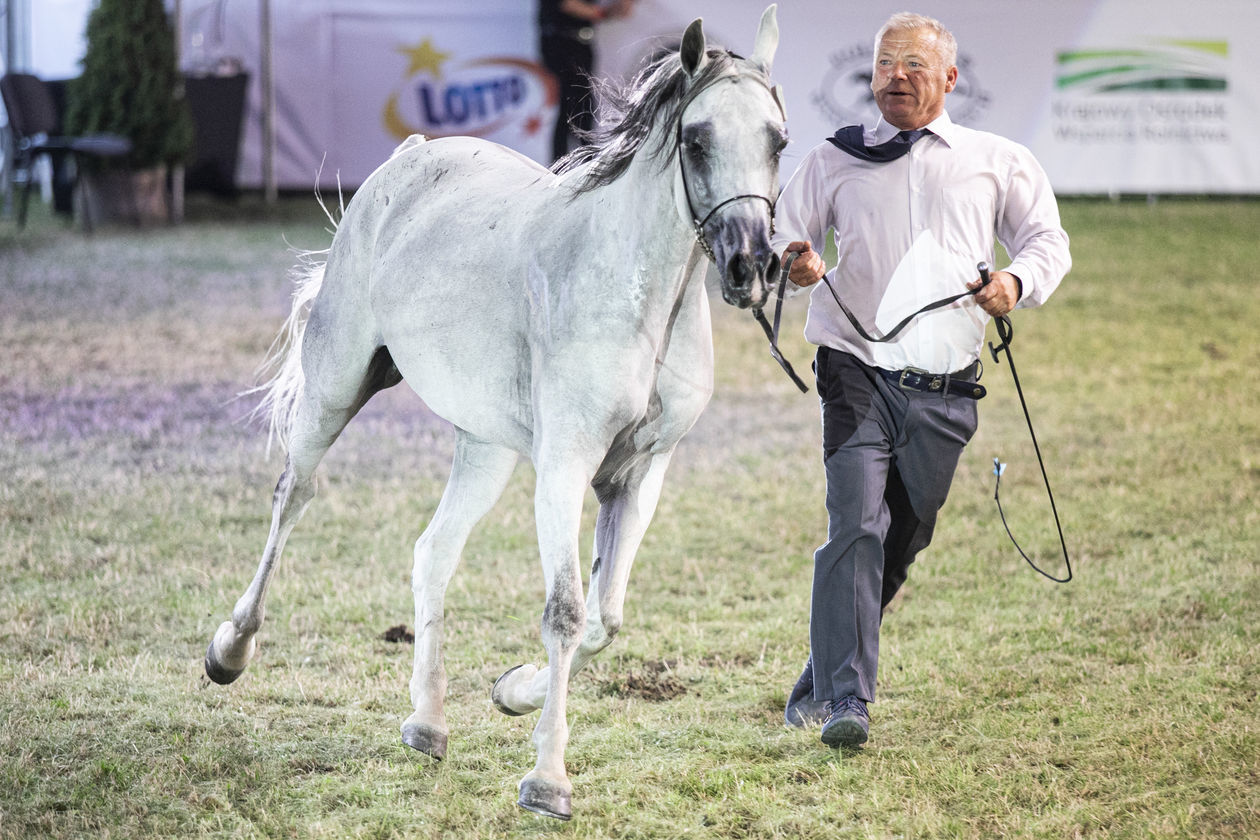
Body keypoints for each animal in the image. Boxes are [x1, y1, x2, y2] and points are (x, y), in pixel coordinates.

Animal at [201, 4, 781, 821]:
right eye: (697, 140)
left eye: (777, 141)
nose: (750, 267)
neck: (639, 302)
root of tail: (409, 157)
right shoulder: (564, 467)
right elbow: (567, 611)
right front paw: (548, 780)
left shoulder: (640, 475)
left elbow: (606, 618)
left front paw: (513, 691)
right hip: (336, 388)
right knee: (294, 495)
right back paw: (231, 651)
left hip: (485, 448)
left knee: (432, 552)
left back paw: (426, 723)